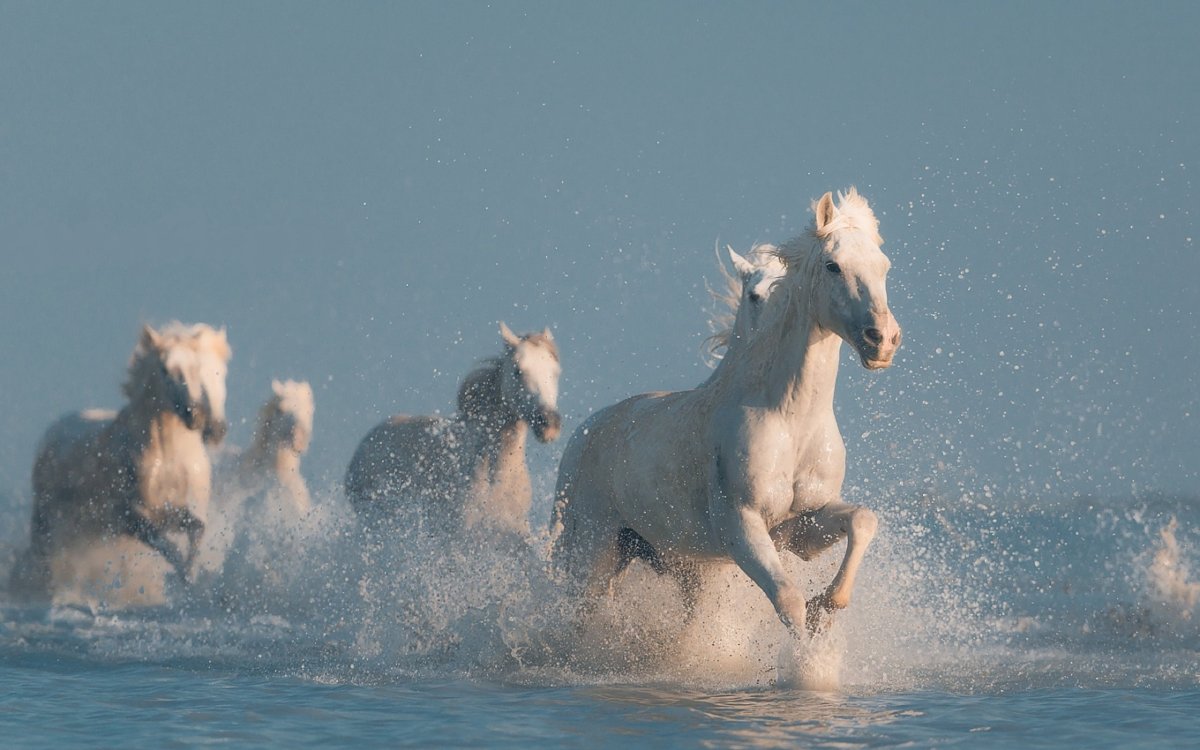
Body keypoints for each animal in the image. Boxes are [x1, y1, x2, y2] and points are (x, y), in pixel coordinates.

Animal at [15, 324, 229, 597]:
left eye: (196, 368)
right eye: (164, 369)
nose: (196, 416)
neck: (168, 457)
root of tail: (52, 430)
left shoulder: (171, 511)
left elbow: (196, 529)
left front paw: (191, 577)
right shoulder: (132, 518)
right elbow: (167, 545)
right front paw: (183, 578)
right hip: (47, 523)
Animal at [552, 188, 902, 638]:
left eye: (884, 266)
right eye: (833, 265)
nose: (883, 341)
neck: (789, 419)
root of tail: (584, 432)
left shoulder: (801, 526)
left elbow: (862, 519)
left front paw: (828, 603)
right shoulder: (742, 526)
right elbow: (788, 600)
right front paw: (808, 648)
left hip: (676, 564)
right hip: (592, 551)